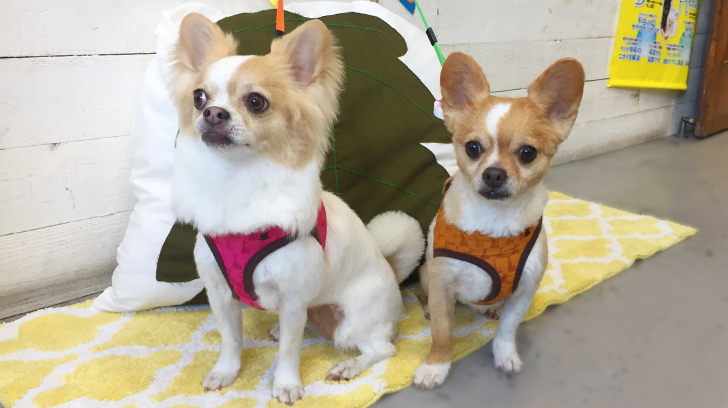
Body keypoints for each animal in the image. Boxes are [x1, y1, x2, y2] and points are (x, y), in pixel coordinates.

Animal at [169, 14, 425, 404]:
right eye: (199, 98)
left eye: (256, 101)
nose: (212, 112)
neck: (238, 179)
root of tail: (394, 275)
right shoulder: (221, 293)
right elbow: (231, 338)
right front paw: (226, 371)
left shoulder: (292, 299)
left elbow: (289, 350)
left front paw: (286, 384)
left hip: (352, 322)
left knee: (382, 348)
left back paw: (348, 366)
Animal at [413, 52, 585, 389]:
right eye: (472, 148)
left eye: (528, 153)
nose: (494, 174)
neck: (493, 224)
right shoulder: (442, 285)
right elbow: (441, 333)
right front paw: (435, 366)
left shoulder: (524, 290)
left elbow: (507, 329)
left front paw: (505, 355)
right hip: (427, 273)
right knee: (423, 295)